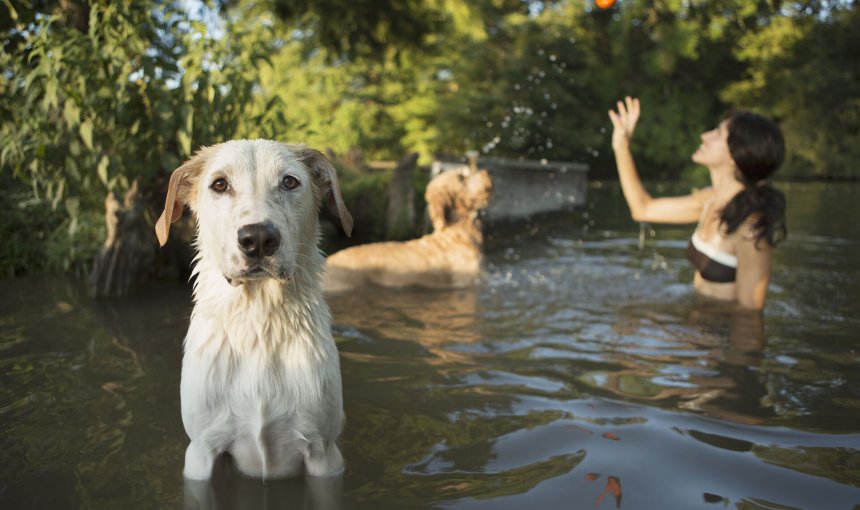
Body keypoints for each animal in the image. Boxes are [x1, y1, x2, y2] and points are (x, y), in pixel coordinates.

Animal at [155, 140, 352, 482]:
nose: (258, 238)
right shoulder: (201, 453)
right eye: (220, 184)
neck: (258, 323)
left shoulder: (324, 455)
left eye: (290, 182)